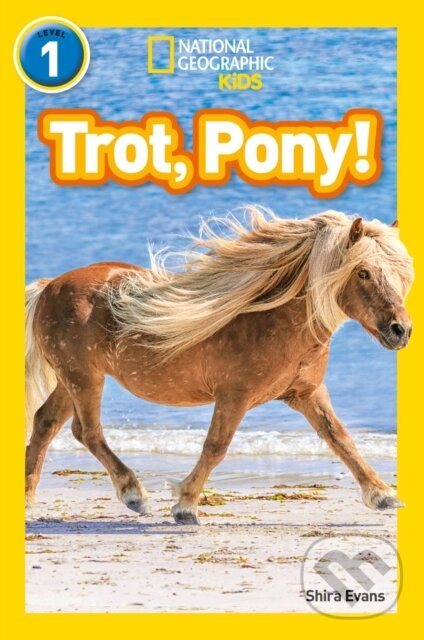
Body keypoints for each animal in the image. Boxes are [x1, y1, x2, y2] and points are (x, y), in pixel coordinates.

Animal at [25, 208, 414, 524]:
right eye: (363, 273)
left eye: (401, 274)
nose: (401, 330)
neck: (273, 318)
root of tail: (50, 287)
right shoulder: (234, 397)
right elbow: (215, 447)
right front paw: (185, 506)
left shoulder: (307, 393)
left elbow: (341, 439)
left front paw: (382, 495)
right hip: (84, 378)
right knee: (87, 432)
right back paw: (135, 495)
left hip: (72, 380)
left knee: (46, 423)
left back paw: (28, 499)